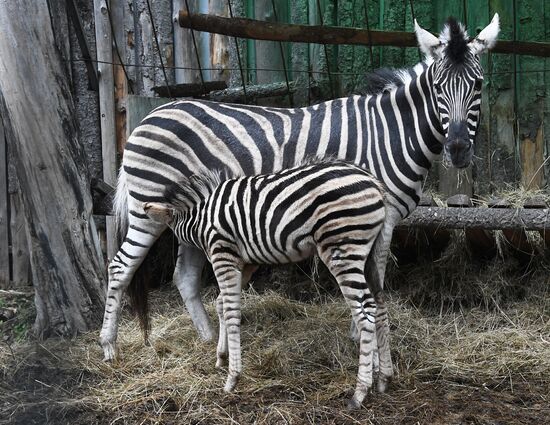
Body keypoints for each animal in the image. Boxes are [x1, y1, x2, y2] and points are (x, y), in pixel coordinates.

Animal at [99, 15, 500, 372]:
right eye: (438, 87)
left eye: (479, 84)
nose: (459, 149)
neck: (391, 133)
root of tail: (147, 118)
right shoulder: (377, 214)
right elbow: (374, 274)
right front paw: (362, 334)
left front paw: (360, 332)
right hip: (146, 210)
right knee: (119, 267)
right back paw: (109, 347)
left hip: (191, 213)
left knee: (183, 276)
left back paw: (210, 338)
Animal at [144, 159, 390, 408]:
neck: (201, 217)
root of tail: (373, 182)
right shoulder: (246, 263)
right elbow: (221, 303)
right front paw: (221, 357)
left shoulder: (224, 253)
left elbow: (231, 311)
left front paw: (232, 378)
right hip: (371, 251)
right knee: (379, 304)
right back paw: (383, 378)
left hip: (342, 249)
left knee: (365, 311)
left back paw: (359, 393)